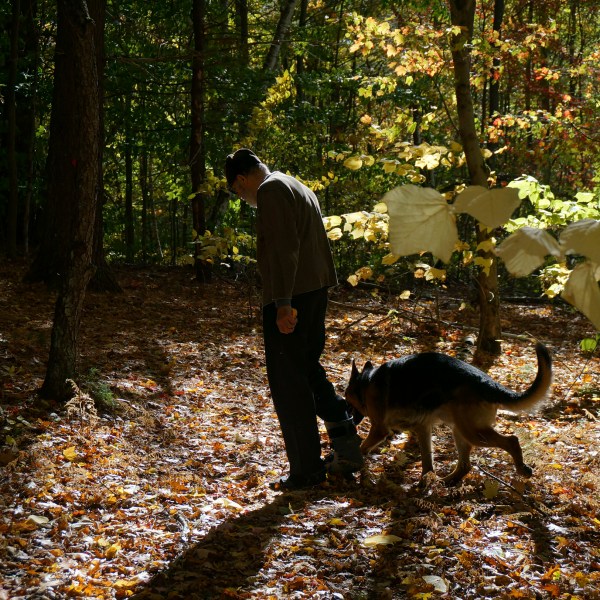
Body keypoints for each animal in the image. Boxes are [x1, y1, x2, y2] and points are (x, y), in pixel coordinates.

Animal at [344, 342, 552, 482]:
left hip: (473, 432)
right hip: (460, 430)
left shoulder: (379, 429)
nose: (348, 418)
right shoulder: (423, 428)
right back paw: (448, 481)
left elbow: (361, 447)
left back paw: (521, 469)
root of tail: (488, 383)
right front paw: (426, 481)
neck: (366, 383)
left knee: (512, 441)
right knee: (466, 465)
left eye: (346, 397)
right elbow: (428, 462)